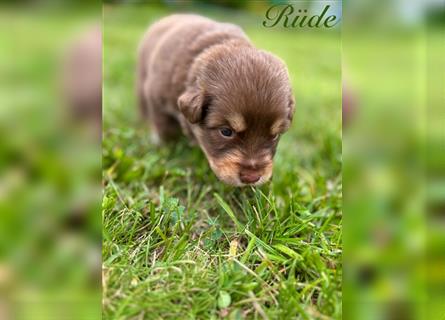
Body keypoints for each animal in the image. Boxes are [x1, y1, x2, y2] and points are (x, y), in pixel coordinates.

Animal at [137, 13, 294, 186]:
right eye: (226, 131)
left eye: (275, 135)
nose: (251, 178)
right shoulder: (157, 100)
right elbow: (167, 131)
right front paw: (169, 150)